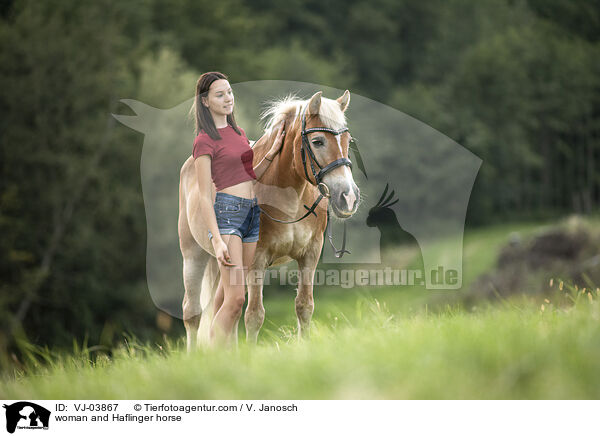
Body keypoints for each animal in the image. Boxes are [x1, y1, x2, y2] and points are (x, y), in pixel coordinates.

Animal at [178, 89, 360, 350]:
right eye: (318, 141)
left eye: (348, 141)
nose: (348, 197)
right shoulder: (257, 260)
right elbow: (254, 315)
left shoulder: (310, 255)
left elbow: (304, 307)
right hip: (194, 255)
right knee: (193, 313)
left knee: (224, 309)